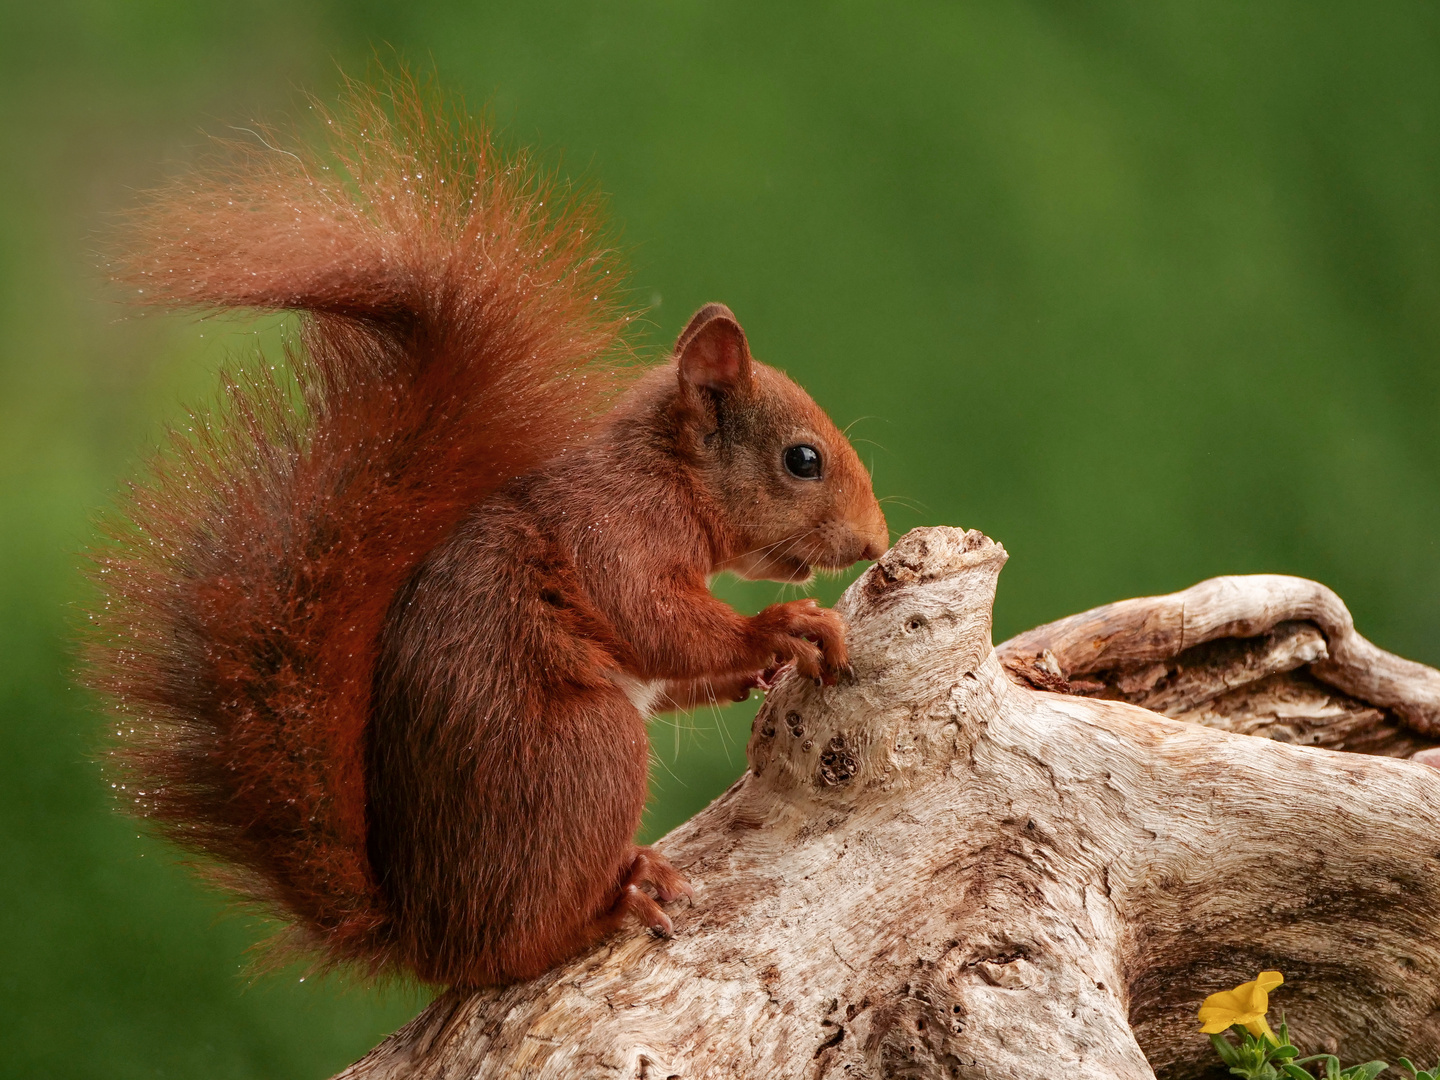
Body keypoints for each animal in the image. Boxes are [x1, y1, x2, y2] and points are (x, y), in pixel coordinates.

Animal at [90, 76, 887, 990]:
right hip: (588, 753)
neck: (666, 480)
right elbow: (658, 624)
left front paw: (760, 669)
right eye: (802, 460)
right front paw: (783, 628)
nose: (876, 540)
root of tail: (426, 936)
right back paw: (606, 907)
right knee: (522, 946)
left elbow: (674, 668)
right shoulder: (611, 536)